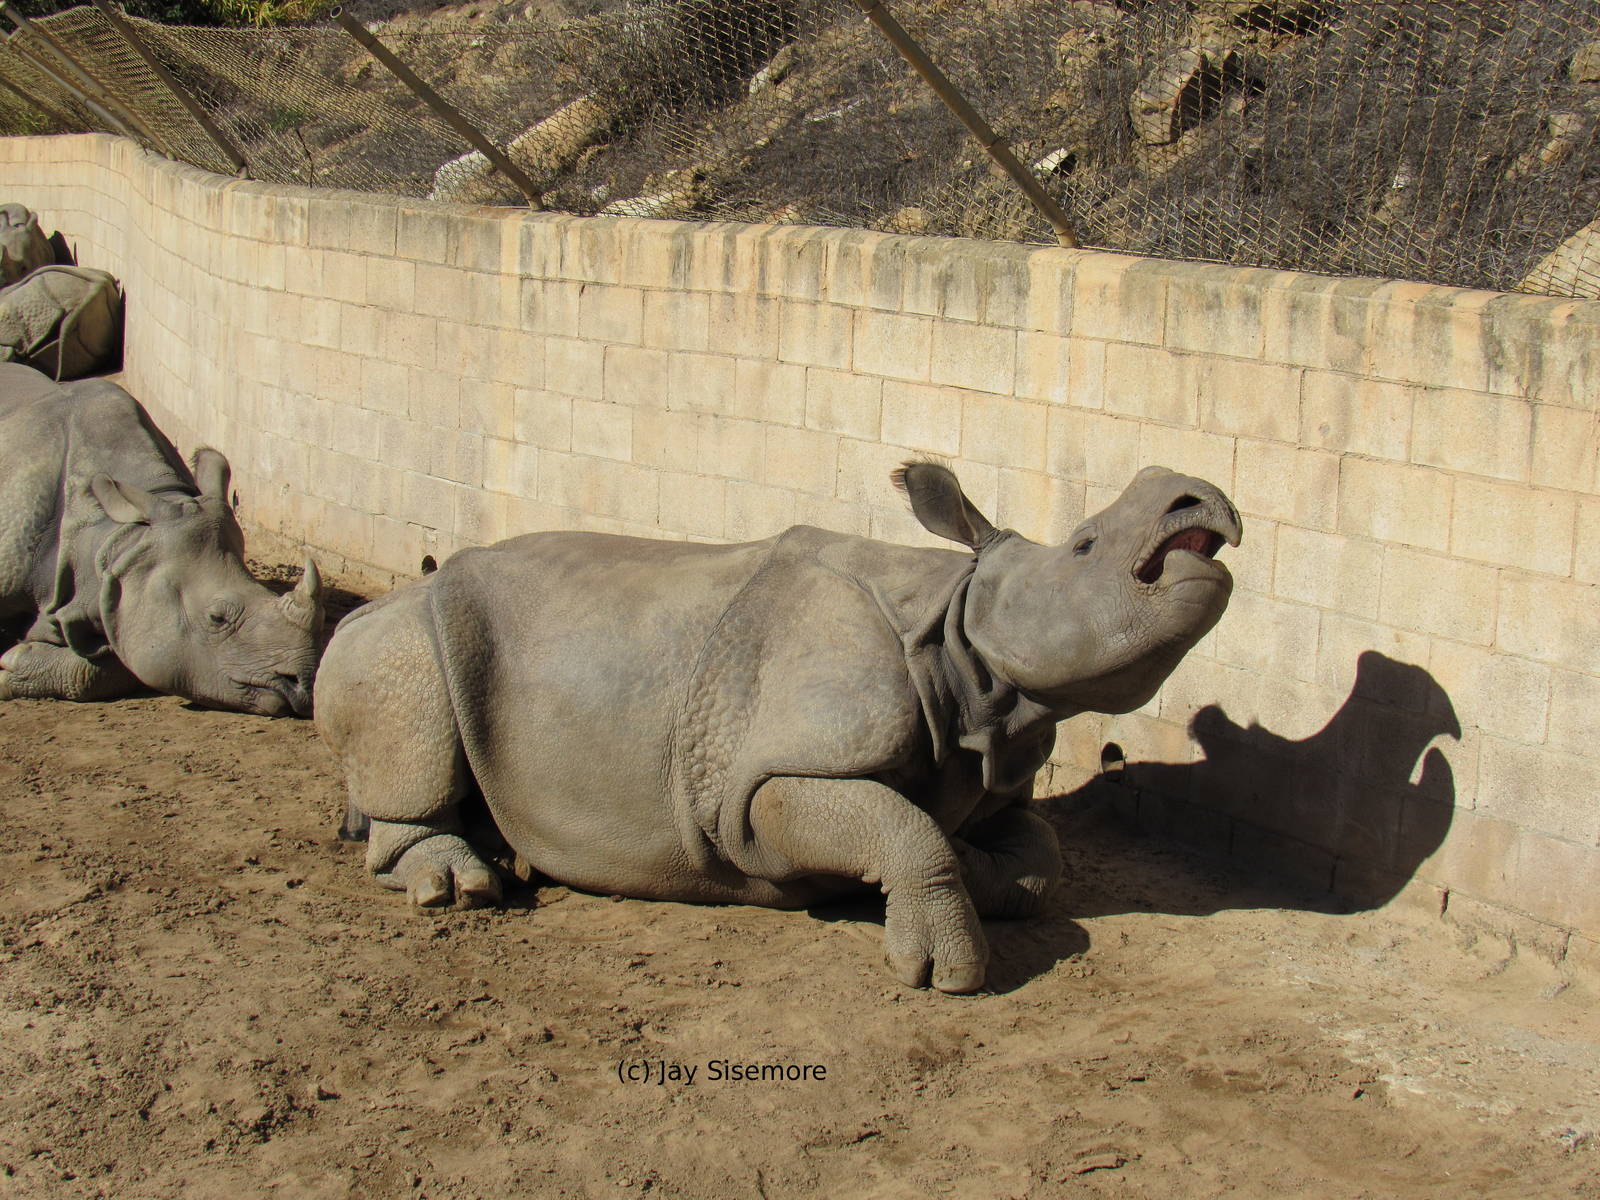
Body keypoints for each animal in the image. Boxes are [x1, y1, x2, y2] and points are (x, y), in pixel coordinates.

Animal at [316, 462, 1239, 992]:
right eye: (1084, 546)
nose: (1197, 499)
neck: (962, 645)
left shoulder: (994, 773)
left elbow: (1033, 861)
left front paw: (971, 869)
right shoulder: (764, 781)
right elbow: (898, 828)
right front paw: (943, 970)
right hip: (405, 630)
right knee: (409, 689)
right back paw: (460, 888)